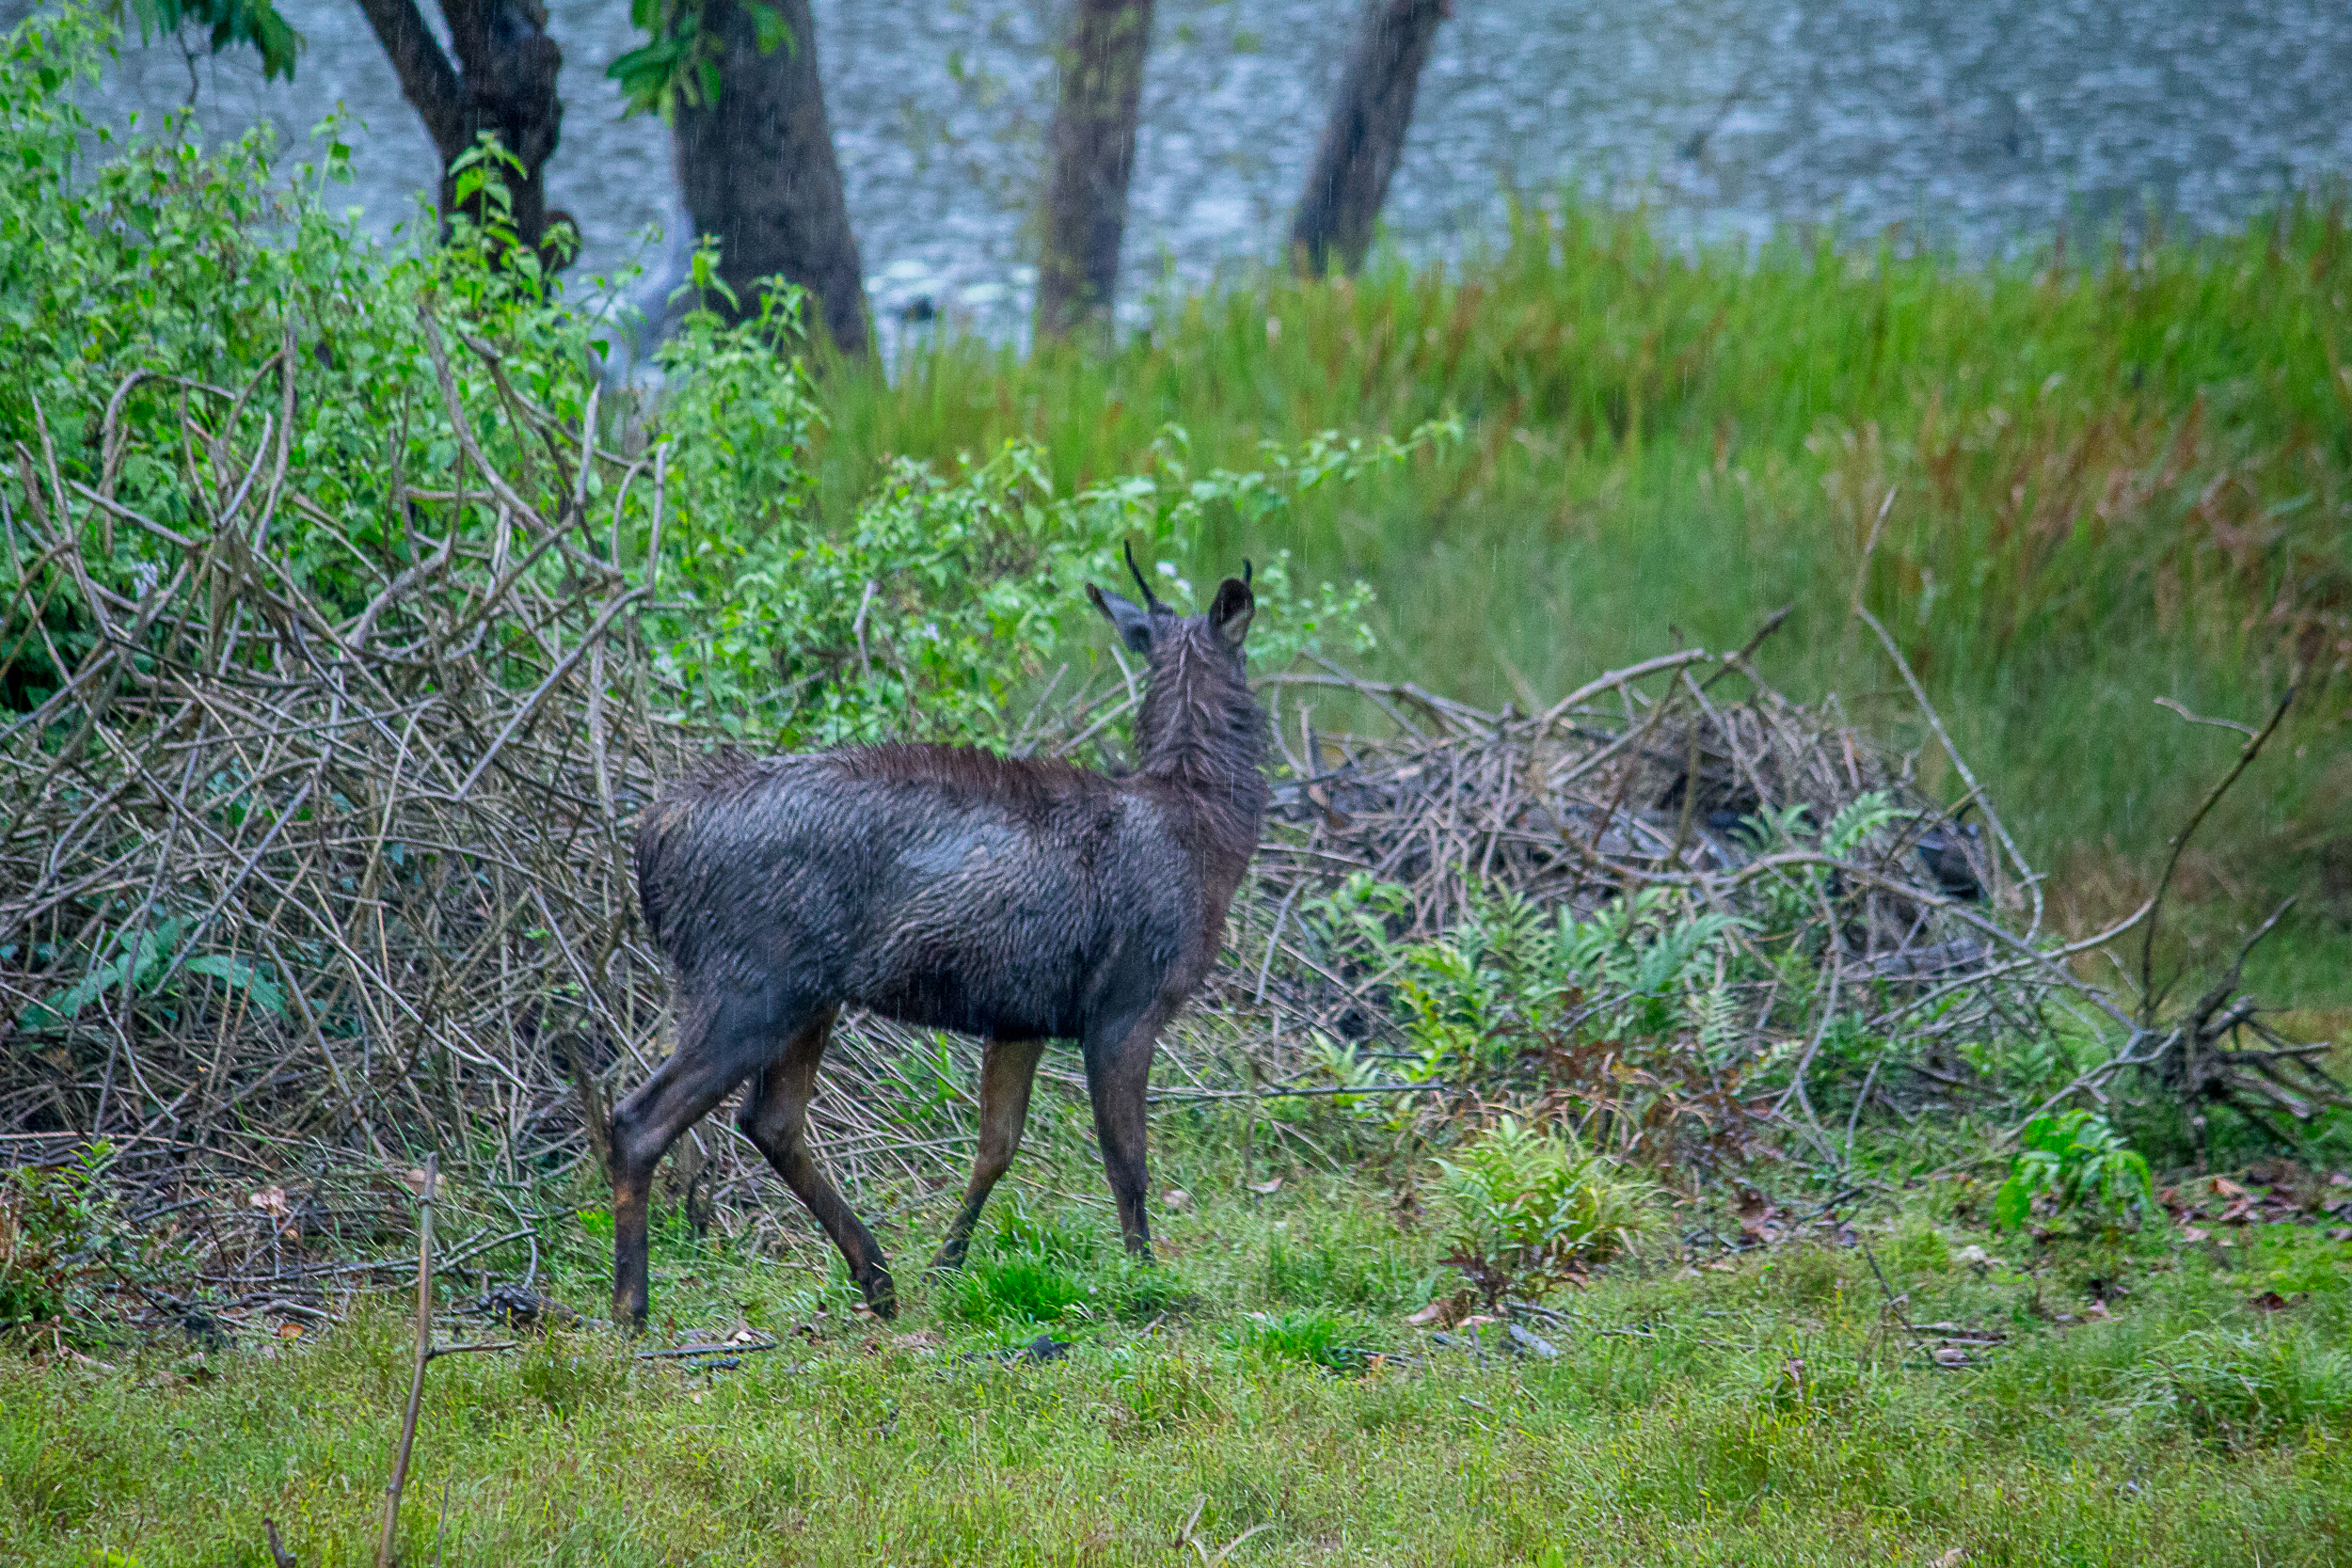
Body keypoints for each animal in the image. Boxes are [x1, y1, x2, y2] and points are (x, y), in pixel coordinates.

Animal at [612, 552, 1270, 1325]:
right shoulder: (1127, 1002)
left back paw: (878, 1276)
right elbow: (1126, 1160)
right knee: (640, 1119)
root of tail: (655, 841)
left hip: (805, 993)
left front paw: (947, 1262)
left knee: (770, 1120)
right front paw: (1147, 1283)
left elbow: (997, 1146)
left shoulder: (1021, 1017)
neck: (1205, 833)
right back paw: (632, 1306)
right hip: (749, 978)